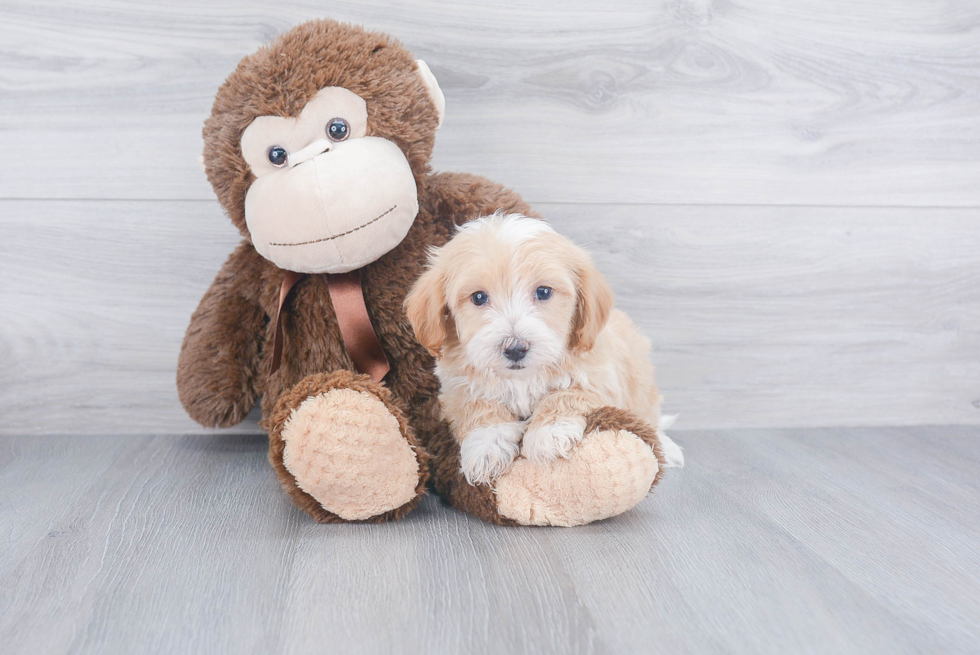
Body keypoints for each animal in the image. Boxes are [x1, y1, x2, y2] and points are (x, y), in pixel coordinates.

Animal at [404, 213, 680, 484]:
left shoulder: (601, 377)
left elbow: (568, 393)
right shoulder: (456, 387)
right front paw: (487, 446)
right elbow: (479, 406)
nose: (515, 348)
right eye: (479, 297)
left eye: (544, 292)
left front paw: (550, 432)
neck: (522, 378)